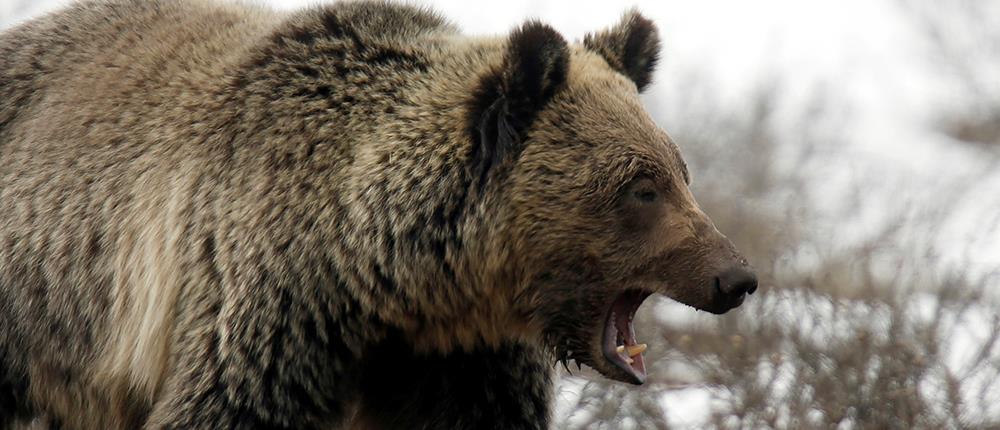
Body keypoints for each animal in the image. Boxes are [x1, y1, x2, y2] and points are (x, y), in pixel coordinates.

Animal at [0, 0, 752, 428]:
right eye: (641, 188)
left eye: (680, 173)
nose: (735, 277)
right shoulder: (264, 308)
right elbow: (226, 406)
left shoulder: (460, 359)